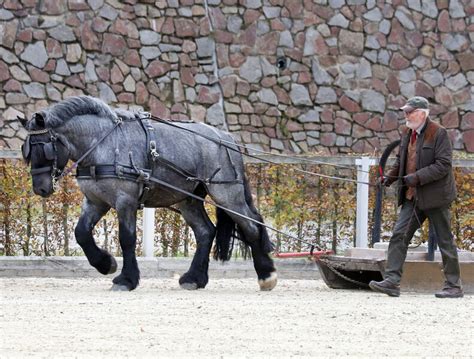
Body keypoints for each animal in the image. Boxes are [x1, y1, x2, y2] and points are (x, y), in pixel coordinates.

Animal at [19, 96, 278, 292]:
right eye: (26, 150)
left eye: (45, 148)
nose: (40, 188)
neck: (104, 144)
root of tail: (227, 138)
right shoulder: (95, 201)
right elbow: (81, 232)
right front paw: (105, 264)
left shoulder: (126, 201)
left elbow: (127, 238)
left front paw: (126, 280)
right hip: (188, 199)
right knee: (206, 232)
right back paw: (194, 279)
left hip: (226, 193)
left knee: (251, 226)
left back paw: (266, 275)